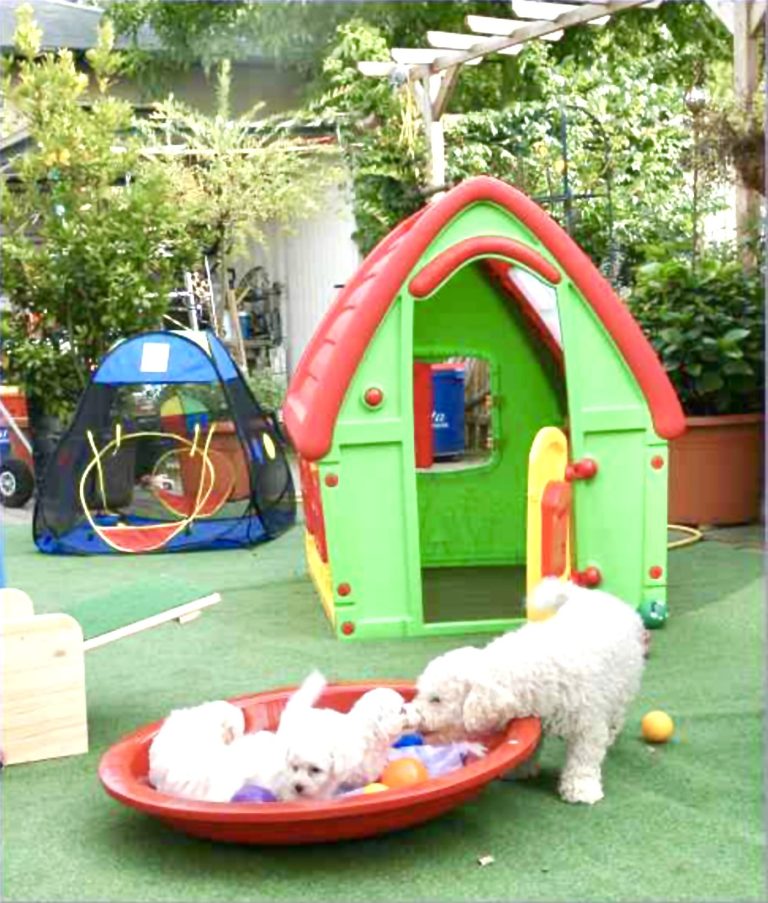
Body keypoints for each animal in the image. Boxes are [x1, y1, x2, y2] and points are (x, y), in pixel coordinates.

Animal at [408, 584, 648, 808]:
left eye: (436, 699)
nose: (413, 717)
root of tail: (590, 594)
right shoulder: (535, 715)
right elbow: (530, 747)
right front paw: (518, 770)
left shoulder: (587, 723)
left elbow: (583, 757)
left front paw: (581, 789)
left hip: (624, 685)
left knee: (616, 716)